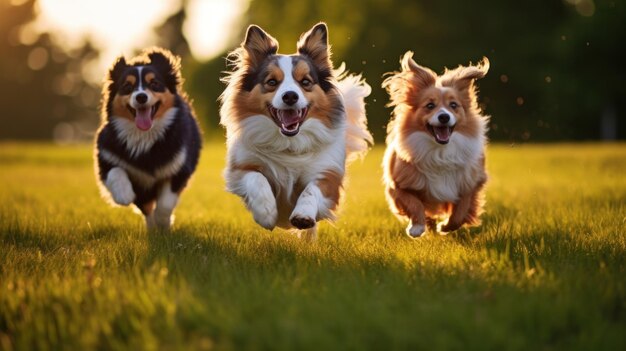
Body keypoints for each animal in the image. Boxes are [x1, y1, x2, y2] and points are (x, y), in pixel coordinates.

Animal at [94, 48, 200, 230]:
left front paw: (163, 223)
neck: (145, 136)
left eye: (154, 83)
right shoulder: (105, 157)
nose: (141, 97)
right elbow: (115, 171)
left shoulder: (179, 169)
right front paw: (124, 195)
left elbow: (165, 204)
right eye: (127, 86)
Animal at [219, 23, 370, 241]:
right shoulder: (240, 169)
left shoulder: (328, 174)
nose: (290, 96)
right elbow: (257, 178)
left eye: (305, 82)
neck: (289, 144)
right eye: (272, 82)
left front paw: (303, 215)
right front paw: (266, 213)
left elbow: (311, 190)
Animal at [380, 51, 488, 239]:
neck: (440, 151)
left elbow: (461, 210)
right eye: (430, 105)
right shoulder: (398, 185)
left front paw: (445, 226)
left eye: (454, 105)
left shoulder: (471, 183)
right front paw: (417, 227)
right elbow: (414, 203)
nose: (444, 116)